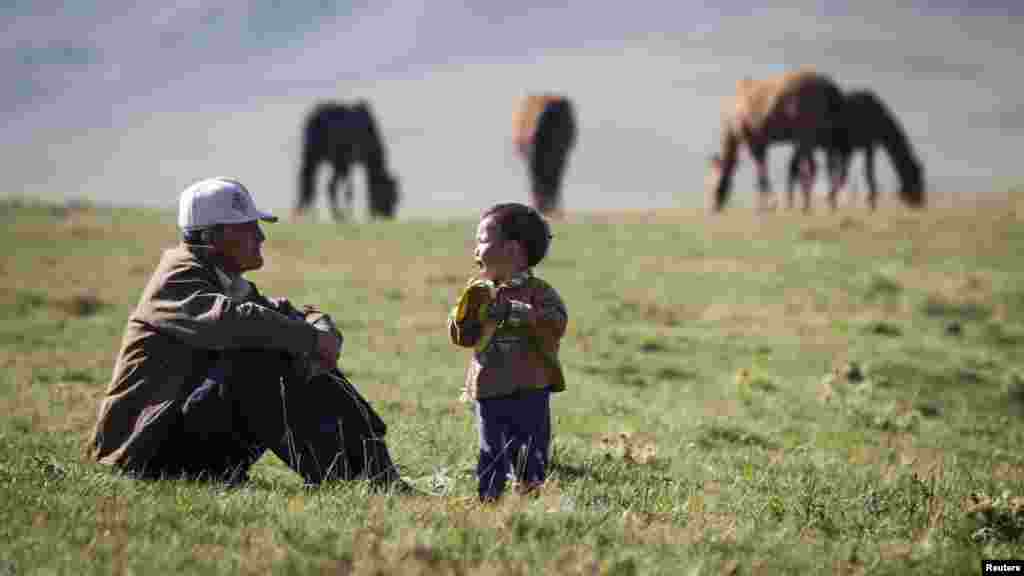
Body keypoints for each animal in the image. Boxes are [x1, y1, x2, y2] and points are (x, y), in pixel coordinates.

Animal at [708, 69, 843, 213]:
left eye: (714, 184)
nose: (713, 207)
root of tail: (832, 88)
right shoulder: (763, 143)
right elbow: (762, 173)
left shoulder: (753, 141)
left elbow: (761, 175)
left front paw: (767, 205)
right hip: (819, 139)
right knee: (826, 167)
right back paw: (822, 204)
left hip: (807, 136)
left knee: (813, 167)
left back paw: (808, 206)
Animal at [782, 87, 929, 208]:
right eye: (916, 178)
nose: (920, 202)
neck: (879, 119)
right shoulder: (865, 145)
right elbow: (866, 172)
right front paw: (870, 202)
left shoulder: (851, 148)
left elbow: (845, 174)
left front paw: (834, 199)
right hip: (807, 142)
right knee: (796, 166)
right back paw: (796, 203)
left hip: (806, 143)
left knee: (795, 165)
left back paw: (795, 203)